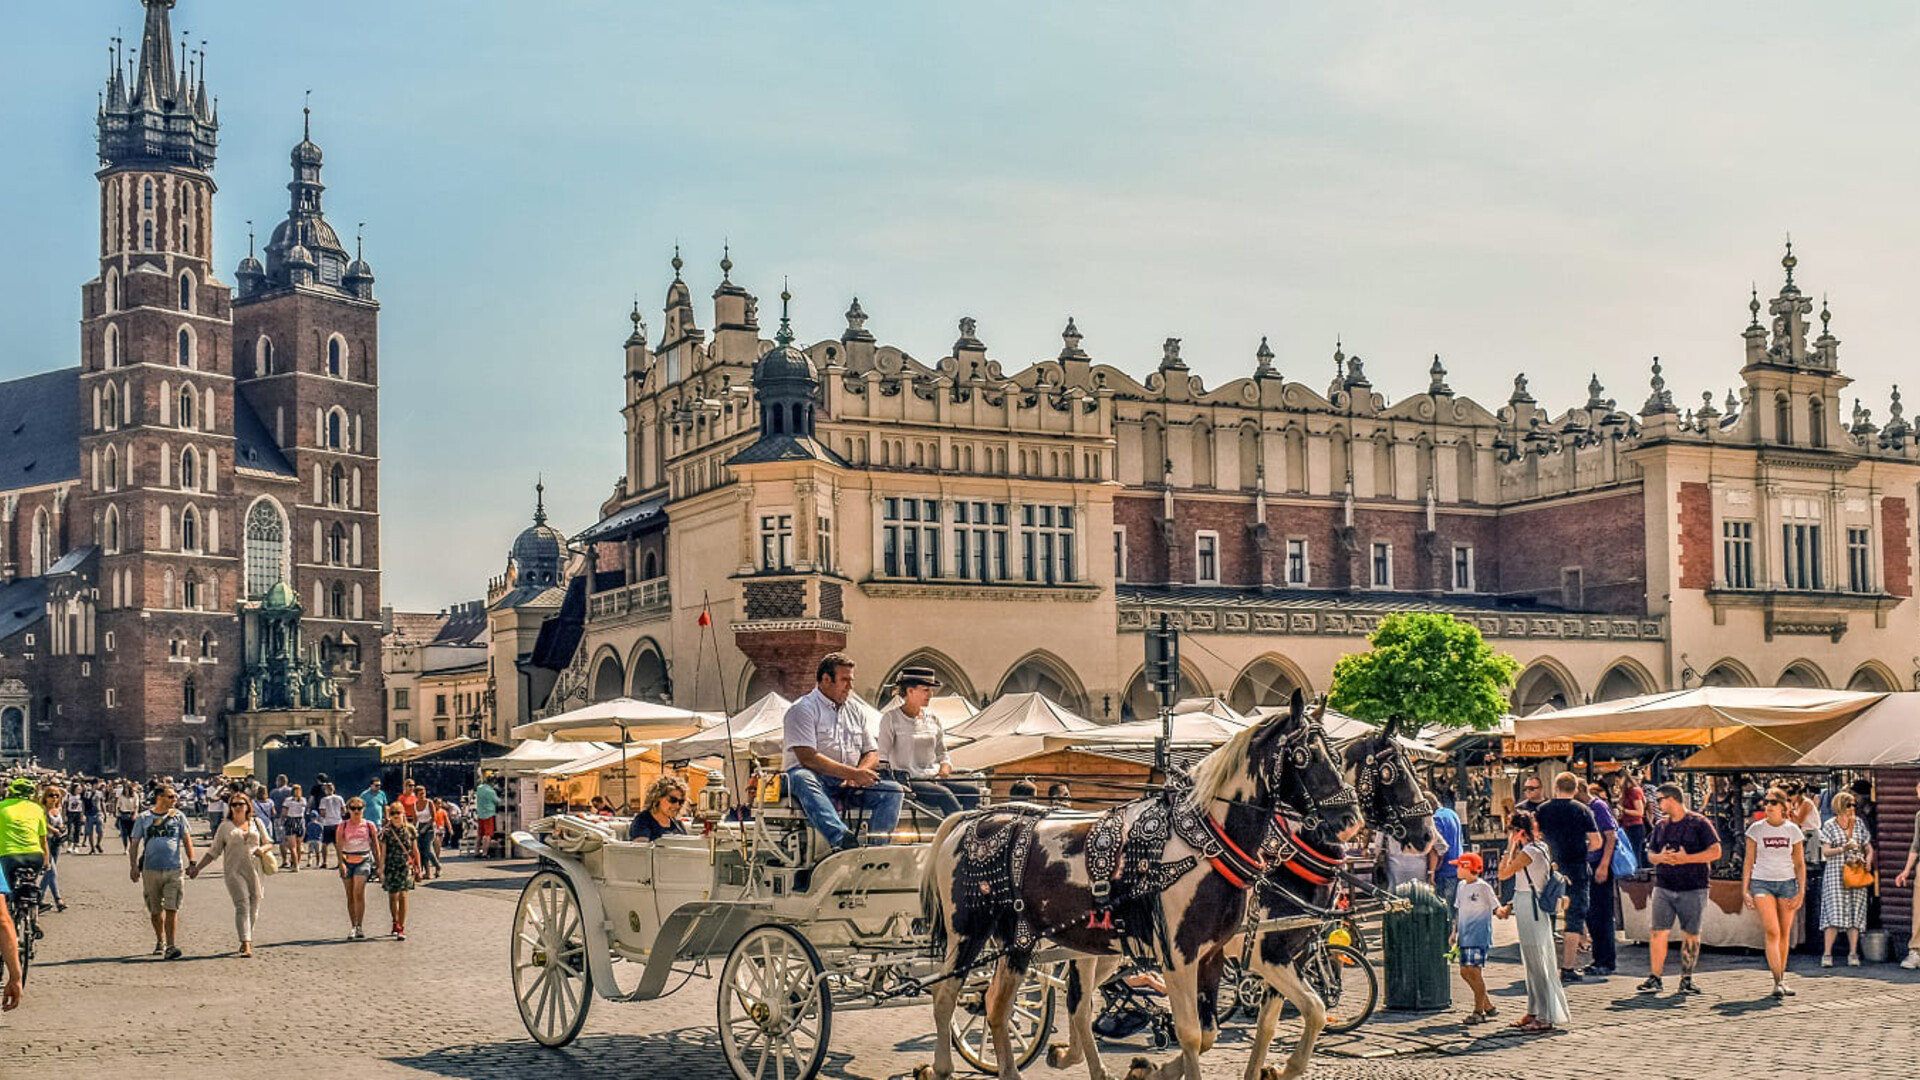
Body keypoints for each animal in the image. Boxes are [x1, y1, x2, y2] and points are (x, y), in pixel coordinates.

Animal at [917, 687, 1359, 1076]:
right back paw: (940, 1067)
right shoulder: (1188, 954)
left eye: (1338, 755)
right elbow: (1192, 1033)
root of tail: (971, 818)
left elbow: (1236, 1027)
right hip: (968, 931)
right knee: (946, 995)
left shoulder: (1216, 955)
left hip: (1025, 940)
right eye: (1304, 756)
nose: (1350, 820)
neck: (1208, 842)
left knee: (1007, 1004)